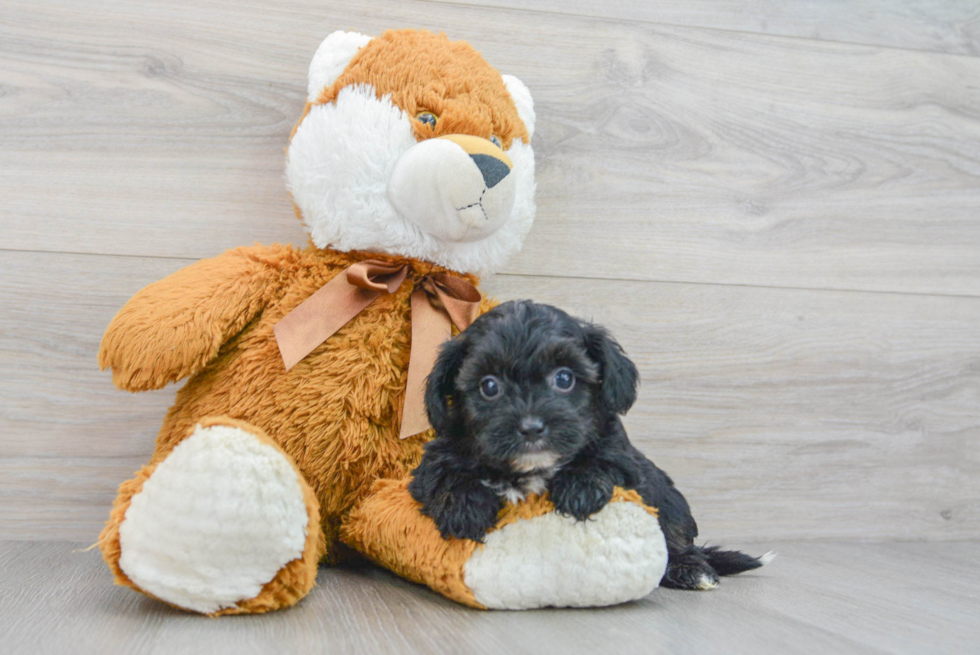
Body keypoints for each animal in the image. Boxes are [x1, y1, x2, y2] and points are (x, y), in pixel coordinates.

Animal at [408, 300, 772, 592]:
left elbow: (604, 460)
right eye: (489, 386)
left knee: (679, 537)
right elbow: (443, 471)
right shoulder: (432, 461)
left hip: (670, 502)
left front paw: (580, 488)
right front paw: (464, 506)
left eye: (564, 378)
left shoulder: (625, 460)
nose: (531, 427)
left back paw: (691, 570)